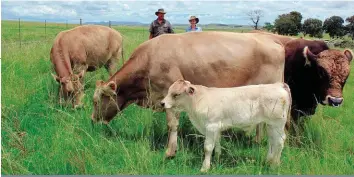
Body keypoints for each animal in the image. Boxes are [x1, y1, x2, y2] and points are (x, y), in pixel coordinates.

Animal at [91, 31, 284, 158]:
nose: (93, 120)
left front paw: (170, 151)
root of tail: (274, 41)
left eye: (97, 101)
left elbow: (172, 125)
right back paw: (257, 141)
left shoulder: (168, 95)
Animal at [160, 79, 290, 172]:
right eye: (168, 91)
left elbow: (207, 147)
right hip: (270, 124)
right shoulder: (216, 127)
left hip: (278, 123)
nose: (162, 103)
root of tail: (278, 85)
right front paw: (217, 160)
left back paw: (275, 164)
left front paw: (204, 168)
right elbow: (217, 144)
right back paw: (269, 161)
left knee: (280, 141)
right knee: (272, 141)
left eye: (176, 94)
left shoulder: (211, 126)